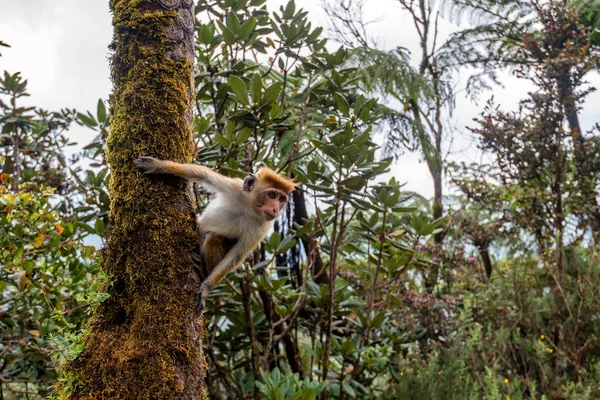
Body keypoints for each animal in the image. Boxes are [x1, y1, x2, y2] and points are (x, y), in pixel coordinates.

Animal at [135, 156, 296, 312]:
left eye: (282, 199)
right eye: (272, 195)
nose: (276, 209)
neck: (249, 208)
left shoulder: (261, 228)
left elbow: (236, 256)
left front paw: (206, 289)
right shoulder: (234, 187)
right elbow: (202, 174)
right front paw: (158, 166)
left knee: (215, 237)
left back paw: (202, 269)